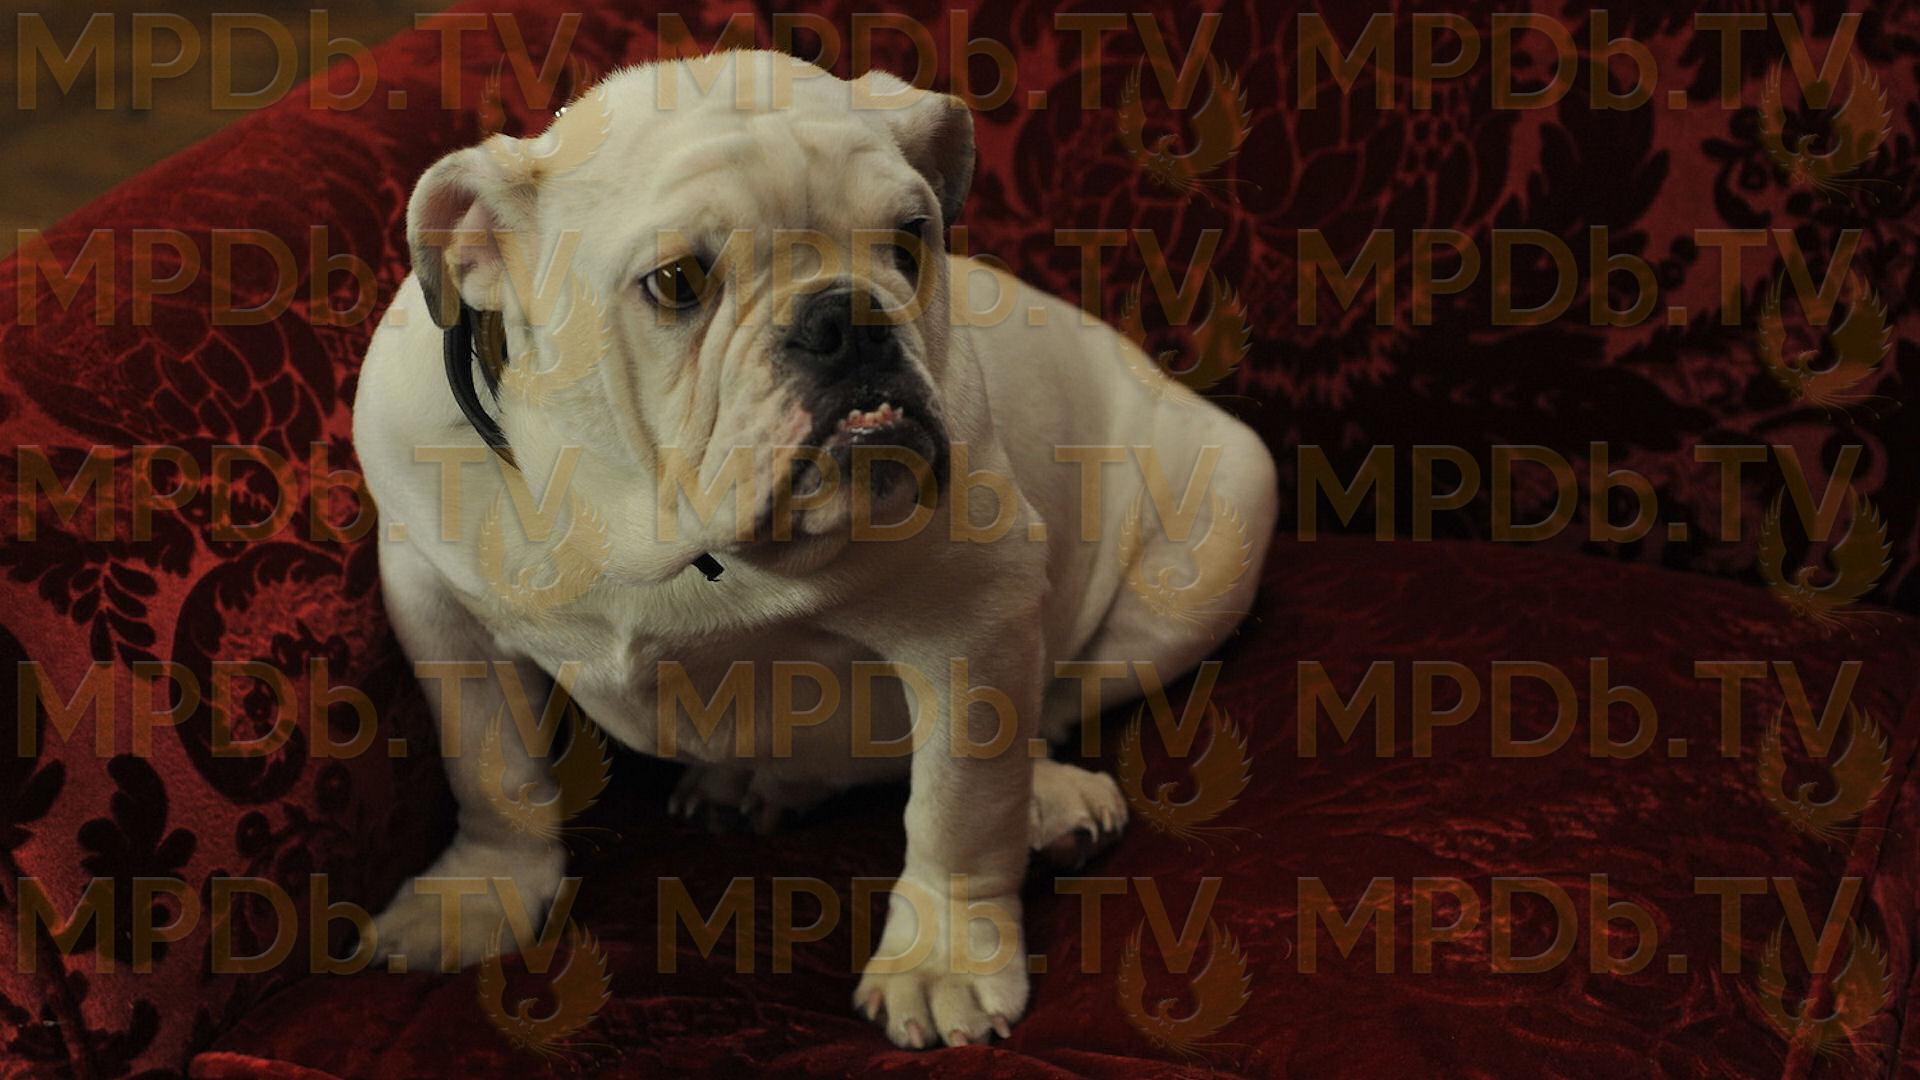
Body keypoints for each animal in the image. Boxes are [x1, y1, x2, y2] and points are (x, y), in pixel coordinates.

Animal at [352, 49, 1276, 1049]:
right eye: (676, 282)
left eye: (911, 240)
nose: (849, 316)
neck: (652, 515)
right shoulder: (434, 605)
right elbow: (490, 767)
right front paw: (480, 893)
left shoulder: (972, 615)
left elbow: (962, 804)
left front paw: (943, 958)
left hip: (1213, 537)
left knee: (1052, 709)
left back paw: (1048, 798)